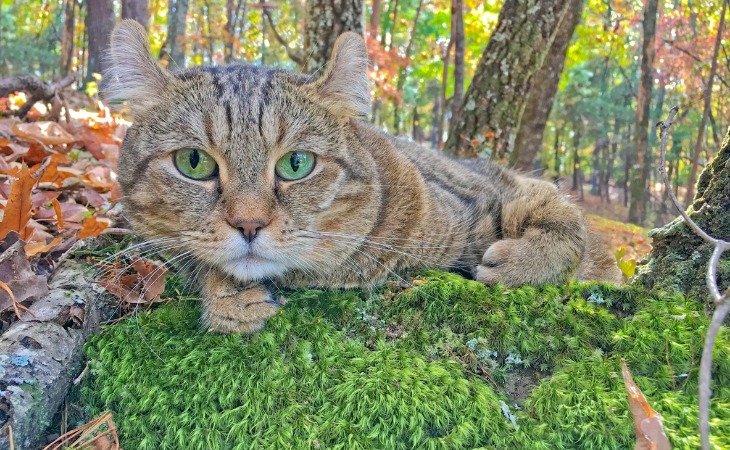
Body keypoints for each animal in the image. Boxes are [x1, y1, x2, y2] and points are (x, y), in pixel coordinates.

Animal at [102, 20, 620, 334]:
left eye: (296, 164)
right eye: (194, 162)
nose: (249, 224)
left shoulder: (508, 192)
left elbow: (567, 225)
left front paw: (522, 265)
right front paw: (225, 296)